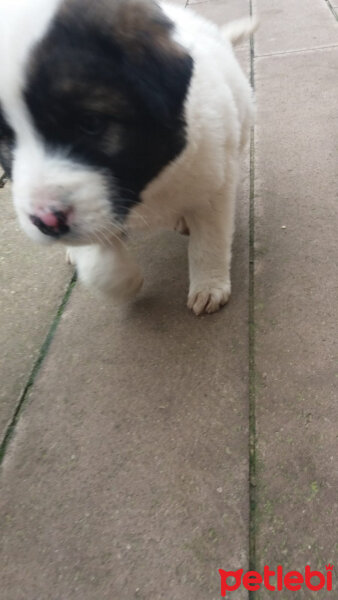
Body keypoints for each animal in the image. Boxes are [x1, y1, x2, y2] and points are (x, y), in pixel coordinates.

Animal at [0, 0, 254, 316]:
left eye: (91, 123)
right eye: (5, 138)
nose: (47, 222)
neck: (148, 189)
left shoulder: (214, 179)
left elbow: (209, 240)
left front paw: (209, 285)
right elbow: (97, 263)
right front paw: (124, 280)